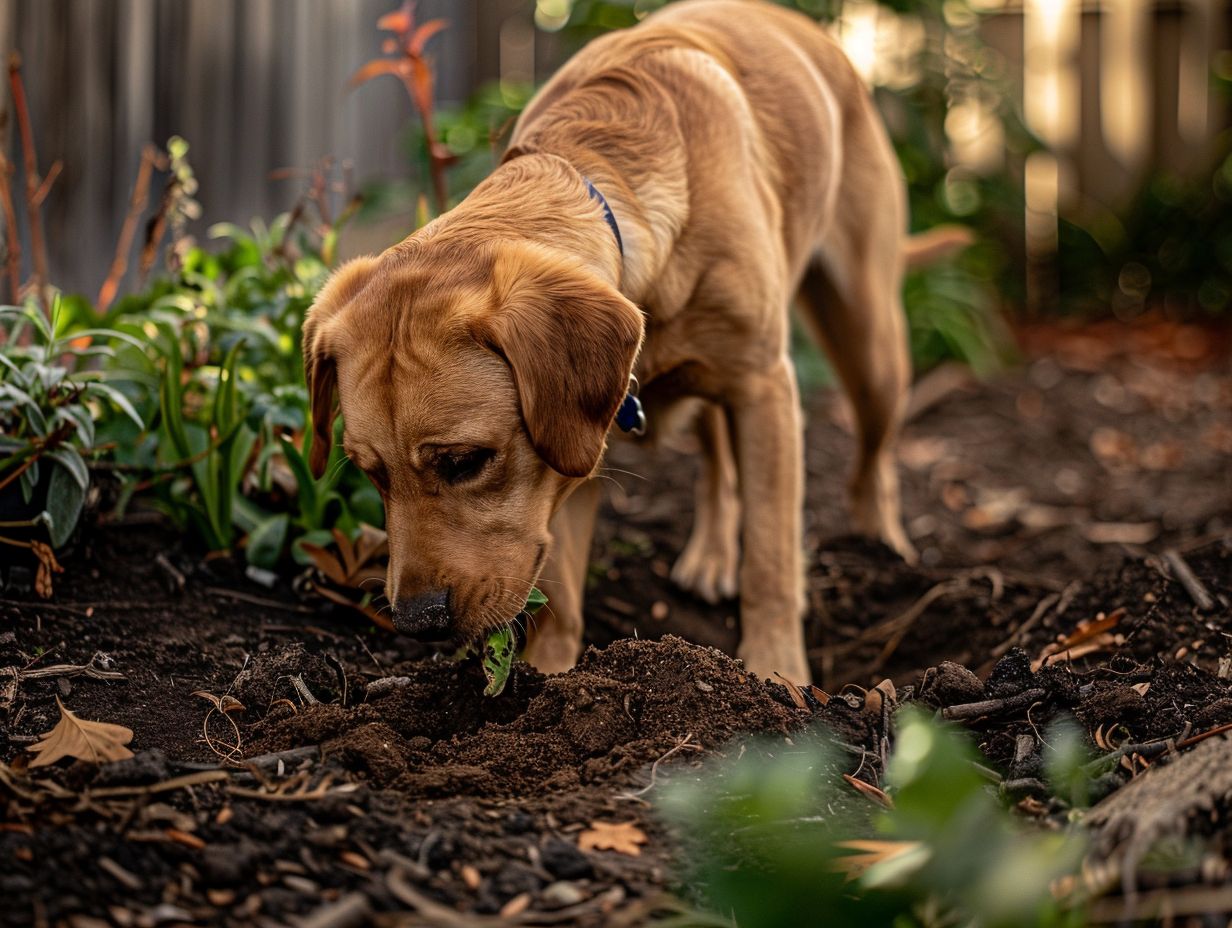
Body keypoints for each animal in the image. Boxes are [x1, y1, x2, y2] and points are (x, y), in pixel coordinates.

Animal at [303, 0, 965, 680]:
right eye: (369, 473)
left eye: (464, 461)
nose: (416, 623)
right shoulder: (579, 443)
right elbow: (562, 590)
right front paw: (551, 677)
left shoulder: (764, 390)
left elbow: (771, 559)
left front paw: (775, 674)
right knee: (716, 452)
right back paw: (713, 551)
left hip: (870, 340)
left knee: (874, 452)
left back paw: (880, 539)